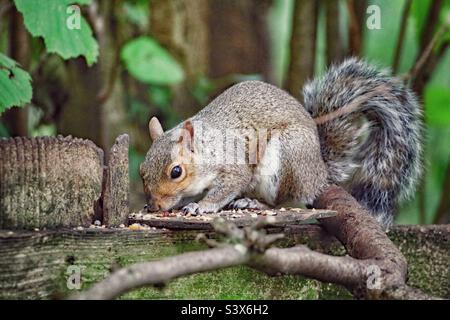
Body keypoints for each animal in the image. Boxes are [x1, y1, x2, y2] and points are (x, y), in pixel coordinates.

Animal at [141, 58, 422, 228]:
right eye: (142, 171)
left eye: (176, 172)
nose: (155, 206)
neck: (207, 148)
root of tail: (319, 173)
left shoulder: (234, 164)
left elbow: (227, 186)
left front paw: (200, 206)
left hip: (285, 158)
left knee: (282, 201)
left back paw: (254, 203)